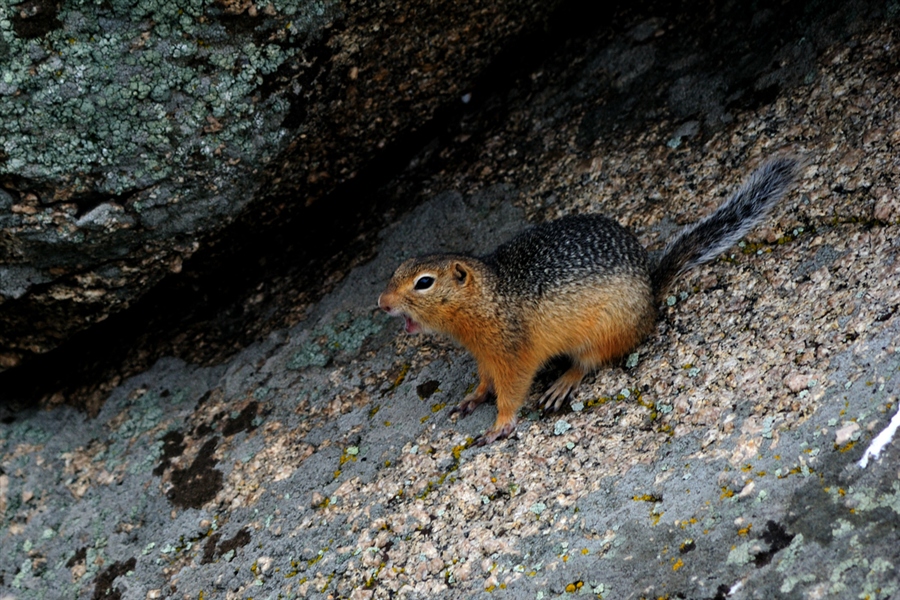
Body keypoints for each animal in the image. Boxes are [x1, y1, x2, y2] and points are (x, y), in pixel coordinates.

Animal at [376, 157, 800, 442]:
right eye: (399, 268)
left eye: (424, 283)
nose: (382, 302)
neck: (488, 298)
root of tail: (651, 294)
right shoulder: (485, 355)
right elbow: (484, 381)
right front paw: (472, 398)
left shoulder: (512, 356)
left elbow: (511, 393)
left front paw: (499, 426)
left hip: (601, 333)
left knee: (592, 362)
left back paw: (564, 382)